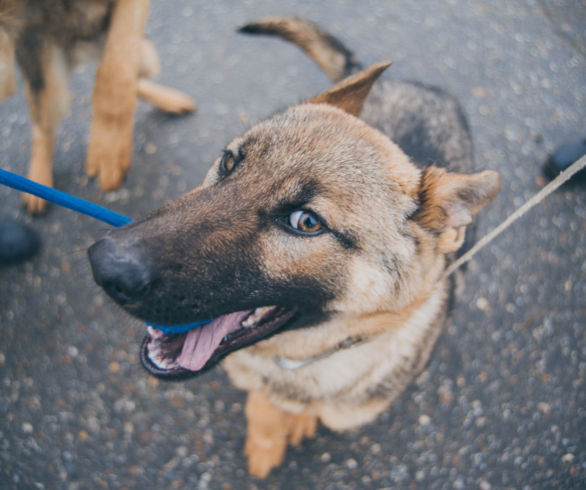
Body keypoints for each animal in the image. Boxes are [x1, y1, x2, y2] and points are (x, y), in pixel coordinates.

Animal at [0, 0, 195, 213]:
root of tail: (77, 46)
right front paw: (109, 147)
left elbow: (115, 70)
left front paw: (110, 148)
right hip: (49, 88)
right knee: (43, 129)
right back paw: (38, 180)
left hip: (144, 55)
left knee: (131, 74)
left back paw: (169, 100)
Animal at [89, 17, 500, 476]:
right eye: (230, 162)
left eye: (306, 222)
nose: (105, 265)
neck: (300, 358)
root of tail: (420, 86)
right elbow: (265, 406)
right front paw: (267, 438)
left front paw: (293, 422)